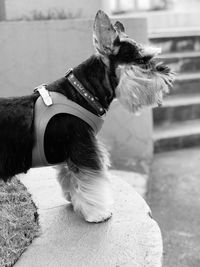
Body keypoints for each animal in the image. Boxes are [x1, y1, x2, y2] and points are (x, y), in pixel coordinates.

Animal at [0, 10, 173, 223]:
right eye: (141, 61)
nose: (168, 78)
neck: (82, 92)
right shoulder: (83, 147)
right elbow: (92, 183)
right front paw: (98, 213)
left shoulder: (70, 153)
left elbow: (71, 177)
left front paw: (74, 199)